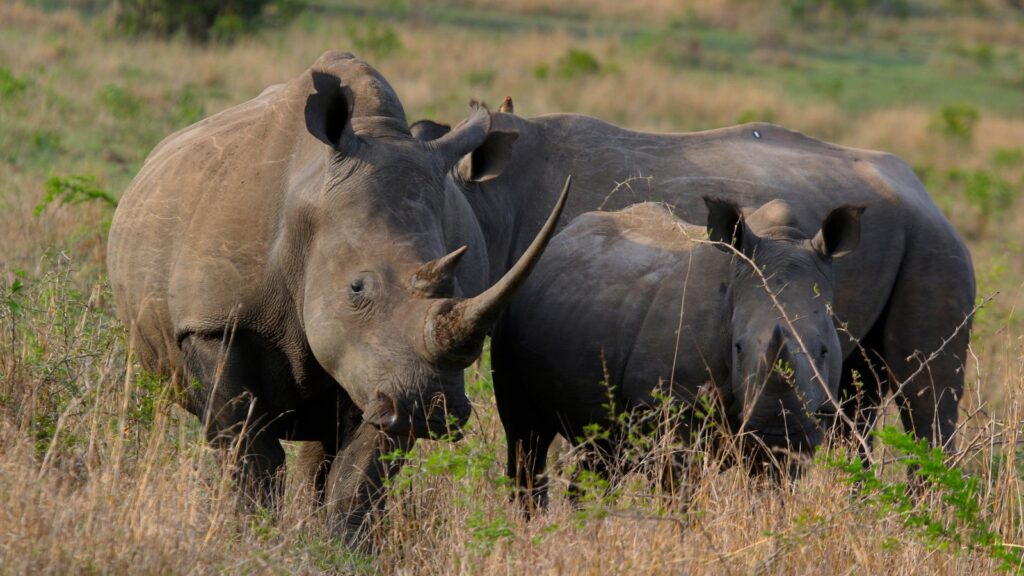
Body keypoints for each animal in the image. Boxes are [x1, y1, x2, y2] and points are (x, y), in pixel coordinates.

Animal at [106, 51, 569, 544]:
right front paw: (254, 536)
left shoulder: (384, 367)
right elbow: (249, 450)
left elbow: (361, 470)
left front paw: (342, 548)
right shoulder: (213, 323)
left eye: (462, 288)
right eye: (357, 288)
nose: (433, 410)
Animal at [496, 198, 863, 505]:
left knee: (602, 455)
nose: (777, 433)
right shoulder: (670, 405)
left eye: (825, 352)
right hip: (513, 305)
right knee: (526, 437)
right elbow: (680, 488)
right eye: (738, 347)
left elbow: (773, 488)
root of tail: (563, 233)